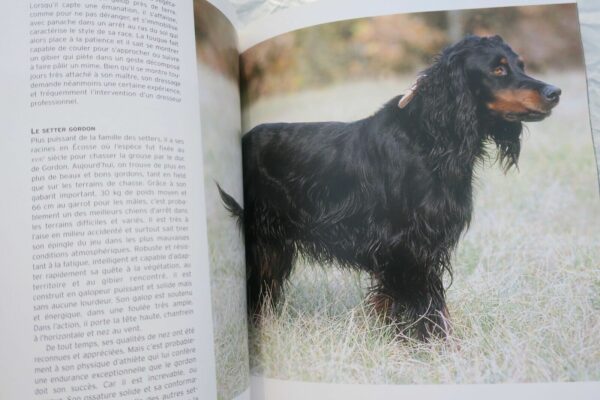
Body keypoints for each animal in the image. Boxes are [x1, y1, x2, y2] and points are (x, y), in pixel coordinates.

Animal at [220, 35, 564, 340]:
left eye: (520, 65)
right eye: (498, 70)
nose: (555, 92)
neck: (431, 139)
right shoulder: (409, 245)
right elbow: (424, 302)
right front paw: (431, 344)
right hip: (265, 240)